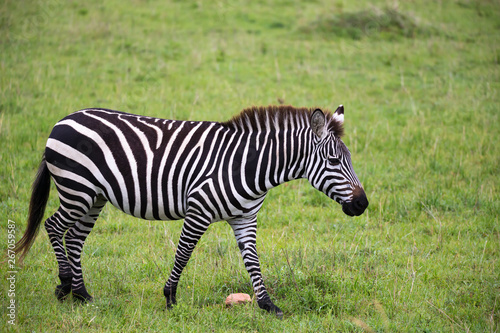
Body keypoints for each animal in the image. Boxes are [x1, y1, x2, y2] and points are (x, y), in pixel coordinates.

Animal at [15, 104, 368, 316]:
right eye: (334, 160)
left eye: (350, 159)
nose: (362, 204)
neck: (251, 166)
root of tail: (64, 119)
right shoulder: (199, 210)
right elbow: (184, 252)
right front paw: (170, 296)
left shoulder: (245, 218)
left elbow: (253, 262)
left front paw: (268, 304)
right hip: (77, 189)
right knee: (53, 226)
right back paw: (64, 284)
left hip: (95, 196)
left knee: (74, 237)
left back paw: (82, 294)